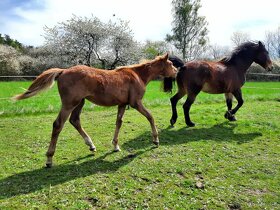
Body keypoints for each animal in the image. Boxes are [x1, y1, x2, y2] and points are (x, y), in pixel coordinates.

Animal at [13, 53, 176, 167]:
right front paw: (155, 140)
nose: (176, 71)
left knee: (75, 120)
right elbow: (150, 116)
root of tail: (63, 71)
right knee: (58, 124)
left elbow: (119, 122)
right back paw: (49, 159)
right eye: (170, 63)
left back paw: (91, 145)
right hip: (69, 104)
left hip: (79, 103)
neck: (137, 75)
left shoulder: (122, 104)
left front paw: (115, 145)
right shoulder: (136, 103)